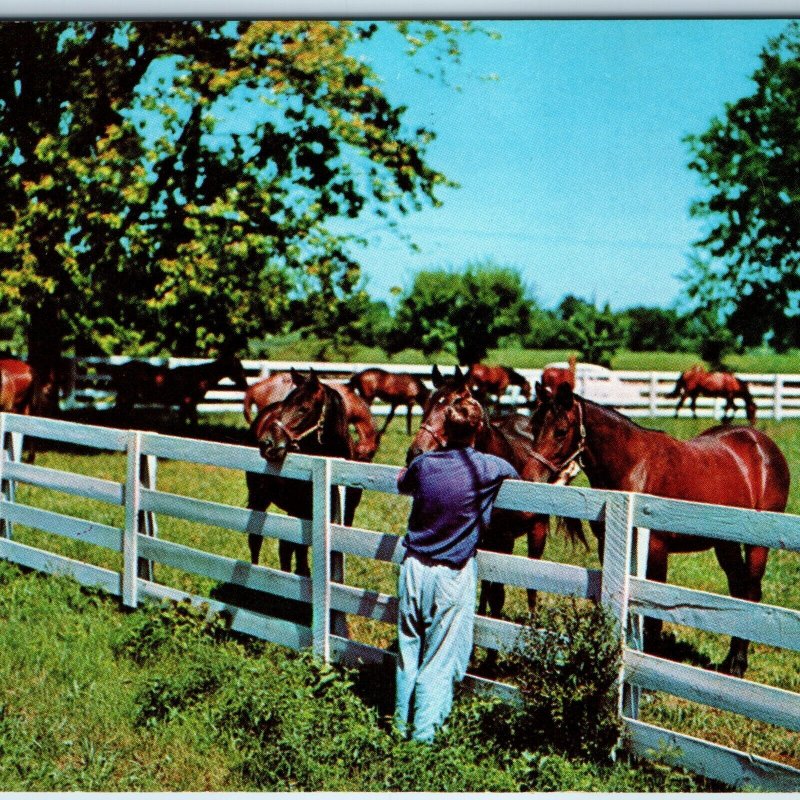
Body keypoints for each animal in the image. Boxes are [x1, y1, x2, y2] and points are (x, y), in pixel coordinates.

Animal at [110, 352, 247, 422]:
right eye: (238, 368)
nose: (245, 385)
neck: (199, 376)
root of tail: (119, 369)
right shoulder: (188, 403)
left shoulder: (187, 404)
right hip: (126, 397)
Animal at [248, 368, 364, 576]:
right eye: (285, 405)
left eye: (304, 408)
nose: (267, 443)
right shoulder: (299, 510)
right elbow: (294, 549)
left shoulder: (345, 515)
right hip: (259, 497)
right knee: (258, 540)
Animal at [406, 366, 580, 620]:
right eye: (426, 405)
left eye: (450, 409)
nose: (415, 452)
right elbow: (488, 585)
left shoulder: (505, 539)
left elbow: (499, 593)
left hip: (536, 532)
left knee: (532, 580)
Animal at [524, 382, 788, 676]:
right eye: (534, 426)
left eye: (561, 430)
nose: (529, 477)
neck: (634, 468)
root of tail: (762, 444)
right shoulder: (610, 545)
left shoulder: (656, 551)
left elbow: (653, 614)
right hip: (725, 544)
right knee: (738, 591)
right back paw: (730, 662)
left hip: (757, 546)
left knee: (750, 594)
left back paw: (738, 665)